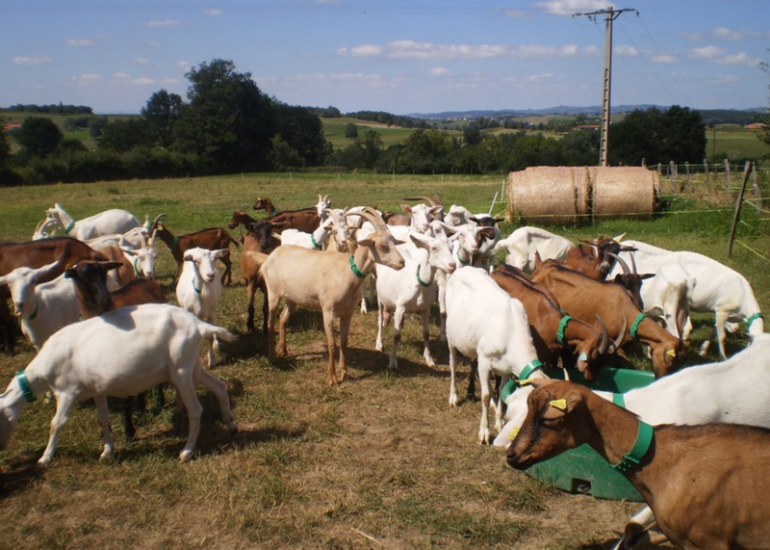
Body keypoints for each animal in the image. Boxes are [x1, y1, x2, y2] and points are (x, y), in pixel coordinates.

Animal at [0, 304, 237, 468]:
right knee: (219, 386)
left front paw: (44, 459)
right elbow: (102, 418)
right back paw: (230, 424)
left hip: (180, 369)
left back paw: (186, 452)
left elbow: (56, 423)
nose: (2, 451)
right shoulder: (96, 389)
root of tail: (197, 324)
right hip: (190, 365)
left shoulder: (68, 390)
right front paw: (107, 451)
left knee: (195, 409)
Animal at [374, 231, 452, 374]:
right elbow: (396, 335)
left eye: (451, 248)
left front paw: (429, 360)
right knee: (380, 318)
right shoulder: (400, 307)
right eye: (434, 248)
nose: (452, 265)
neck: (418, 281)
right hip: (380, 297)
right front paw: (392, 362)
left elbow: (426, 334)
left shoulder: (426, 308)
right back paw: (379, 344)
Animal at [444, 268, 544, 444]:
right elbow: (484, 395)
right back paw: (453, 397)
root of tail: (462, 269)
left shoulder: (506, 367)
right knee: (453, 363)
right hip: (450, 335)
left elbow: (502, 390)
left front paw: (498, 423)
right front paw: (484, 432)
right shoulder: (484, 361)